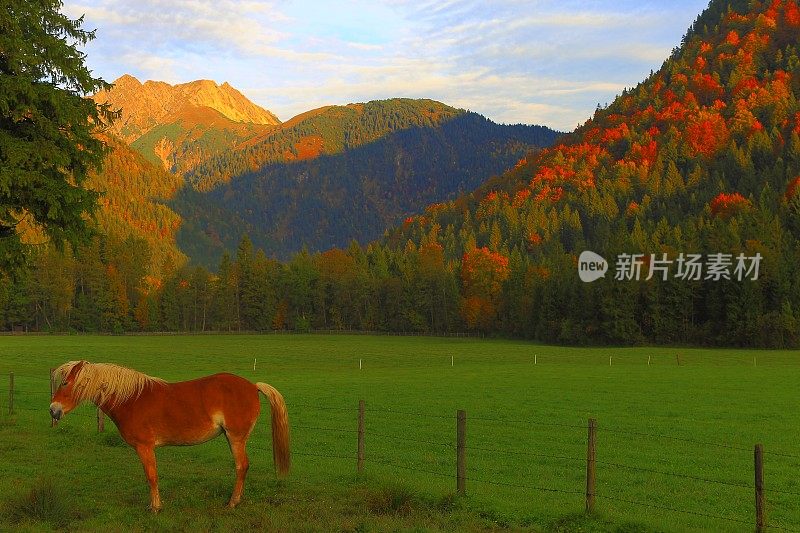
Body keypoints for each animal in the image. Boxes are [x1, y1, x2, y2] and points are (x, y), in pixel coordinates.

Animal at [48, 362, 290, 512]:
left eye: (66, 383)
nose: (53, 410)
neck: (131, 399)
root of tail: (252, 386)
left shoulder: (145, 447)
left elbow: (151, 476)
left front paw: (155, 507)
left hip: (236, 438)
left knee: (242, 466)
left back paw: (232, 503)